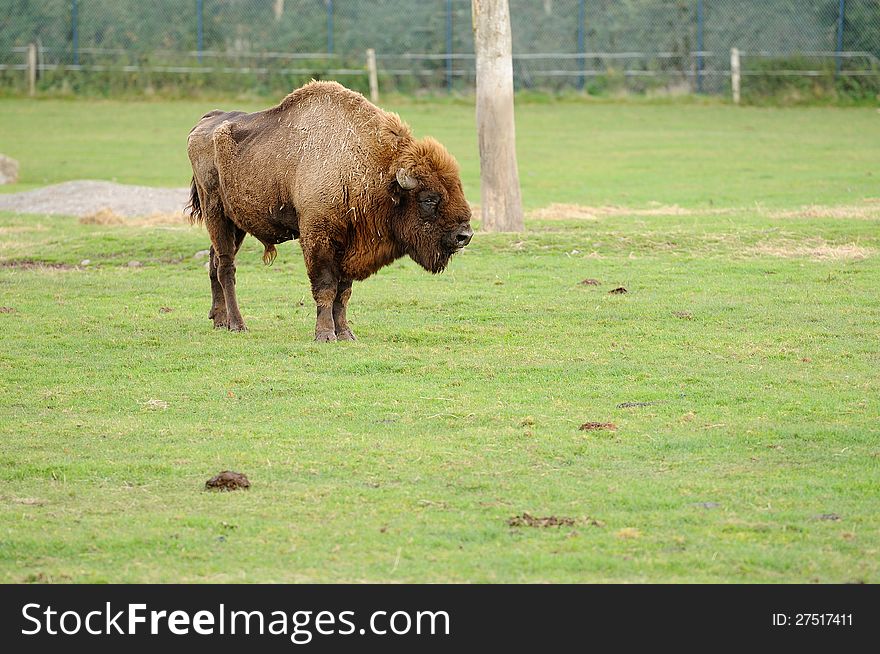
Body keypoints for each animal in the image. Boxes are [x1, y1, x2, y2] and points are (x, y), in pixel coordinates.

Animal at [186, 79, 474, 340]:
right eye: (429, 199)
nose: (465, 235)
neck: (372, 170)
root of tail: (205, 122)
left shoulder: (349, 247)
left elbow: (343, 292)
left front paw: (345, 333)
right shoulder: (318, 239)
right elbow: (325, 287)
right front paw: (325, 334)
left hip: (236, 224)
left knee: (214, 262)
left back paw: (219, 320)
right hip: (216, 214)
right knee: (226, 268)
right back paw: (238, 324)